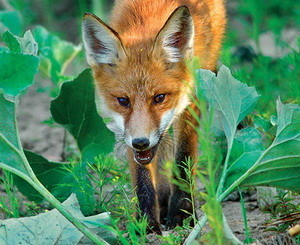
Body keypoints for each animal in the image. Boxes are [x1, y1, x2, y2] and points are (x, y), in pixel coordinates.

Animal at [81, 0, 225, 234]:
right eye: (123, 101)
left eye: (159, 98)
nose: (140, 142)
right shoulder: (128, 133)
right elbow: (143, 177)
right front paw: (147, 224)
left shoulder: (191, 100)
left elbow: (184, 159)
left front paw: (182, 214)